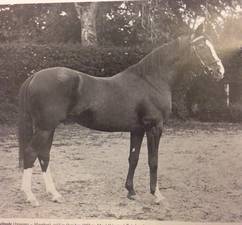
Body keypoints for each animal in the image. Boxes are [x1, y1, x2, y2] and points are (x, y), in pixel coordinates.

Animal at [17, 23, 225, 207]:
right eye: (201, 46)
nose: (220, 71)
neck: (152, 81)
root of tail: (33, 76)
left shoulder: (137, 129)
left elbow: (133, 159)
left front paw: (131, 192)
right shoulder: (154, 127)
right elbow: (153, 161)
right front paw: (157, 195)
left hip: (48, 128)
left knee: (43, 155)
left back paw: (54, 194)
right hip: (45, 128)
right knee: (31, 153)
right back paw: (30, 197)